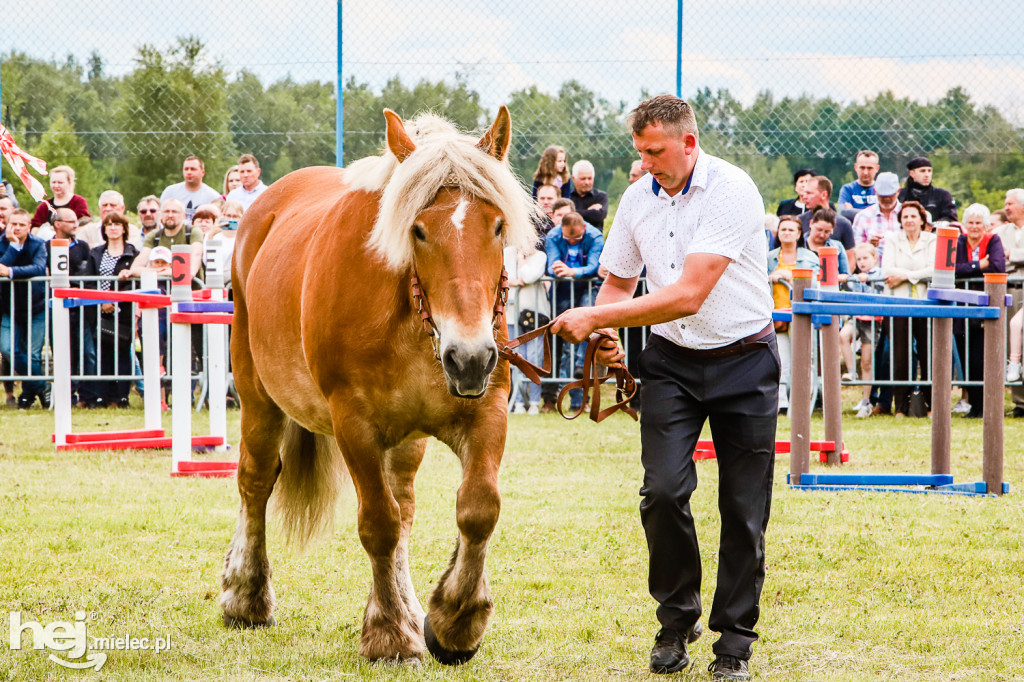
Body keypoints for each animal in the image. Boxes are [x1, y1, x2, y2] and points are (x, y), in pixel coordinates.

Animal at [217, 107, 536, 663]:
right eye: (419, 230)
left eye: (497, 226)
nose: (469, 358)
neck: (412, 319)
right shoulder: (354, 424)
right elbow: (379, 525)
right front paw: (389, 632)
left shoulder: (486, 408)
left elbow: (478, 508)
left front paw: (455, 618)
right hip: (258, 396)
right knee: (255, 481)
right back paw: (246, 595)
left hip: (407, 439)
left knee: (404, 504)